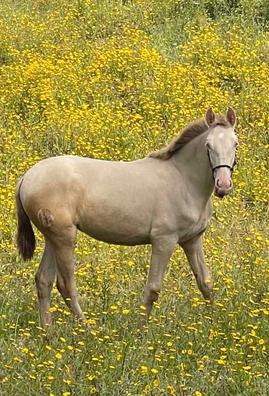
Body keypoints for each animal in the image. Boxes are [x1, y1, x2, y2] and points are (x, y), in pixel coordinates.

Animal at [15, 107, 237, 328]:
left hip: (52, 238)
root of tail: (27, 177)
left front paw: (217, 324)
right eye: (208, 145)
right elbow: (153, 288)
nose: (223, 186)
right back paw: (87, 329)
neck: (183, 179)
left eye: (235, 143)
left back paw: (48, 332)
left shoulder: (192, 240)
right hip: (64, 238)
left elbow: (205, 283)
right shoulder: (164, 240)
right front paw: (140, 331)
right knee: (66, 285)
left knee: (43, 280)